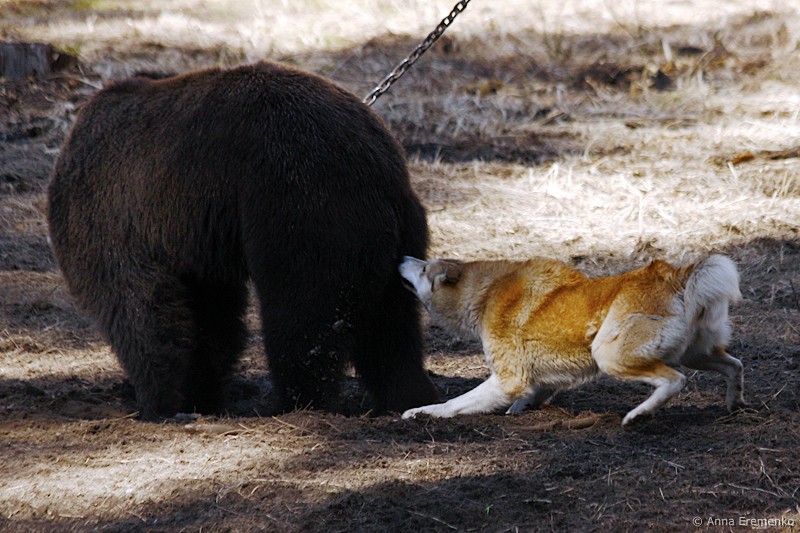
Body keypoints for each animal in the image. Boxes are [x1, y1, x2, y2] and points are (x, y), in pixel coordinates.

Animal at [47, 61, 440, 420]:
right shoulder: (199, 241)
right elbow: (209, 317)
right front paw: (198, 392)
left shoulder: (122, 213)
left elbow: (140, 306)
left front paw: (160, 400)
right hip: (398, 236)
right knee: (391, 327)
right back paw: (407, 395)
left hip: (300, 205)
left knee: (302, 314)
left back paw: (294, 402)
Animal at [399, 255, 746, 425]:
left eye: (425, 268)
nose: (402, 258)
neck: (485, 293)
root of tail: (672, 275)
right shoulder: (539, 375)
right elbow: (536, 390)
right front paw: (523, 406)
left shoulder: (507, 379)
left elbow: (455, 403)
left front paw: (424, 412)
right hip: (696, 353)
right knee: (735, 366)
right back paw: (735, 404)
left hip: (609, 355)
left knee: (674, 380)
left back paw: (639, 414)